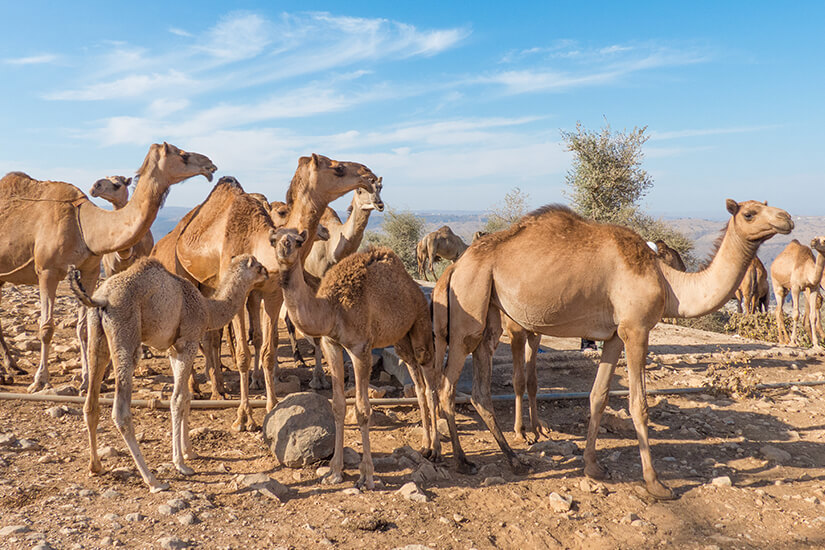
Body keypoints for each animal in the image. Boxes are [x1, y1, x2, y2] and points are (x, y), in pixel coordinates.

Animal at [0, 144, 216, 390]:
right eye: (182, 155)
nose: (210, 164)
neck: (84, 226)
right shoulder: (47, 270)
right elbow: (46, 328)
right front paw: (40, 380)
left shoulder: (90, 270)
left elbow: (84, 329)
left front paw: (86, 379)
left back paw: (12, 366)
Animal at [69, 256, 268, 494]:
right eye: (258, 266)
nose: (268, 273)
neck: (208, 309)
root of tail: (101, 300)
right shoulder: (188, 342)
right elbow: (177, 400)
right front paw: (180, 463)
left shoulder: (174, 349)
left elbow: (186, 398)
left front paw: (189, 452)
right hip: (125, 335)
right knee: (121, 411)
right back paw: (153, 481)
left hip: (97, 338)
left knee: (91, 404)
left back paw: (95, 466)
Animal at [152, 154, 380, 432]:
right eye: (337, 168)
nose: (368, 173)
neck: (258, 244)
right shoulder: (238, 294)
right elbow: (243, 353)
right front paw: (244, 417)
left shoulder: (272, 295)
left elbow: (268, 351)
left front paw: (272, 406)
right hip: (186, 277)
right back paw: (198, 387)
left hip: (217, 287)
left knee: (217, 335)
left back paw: (219, 386)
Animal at [276, 230, 440, 492]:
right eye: (274, 237)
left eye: (295, 240)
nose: (282, 249)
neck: (332, 308)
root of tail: (414, 287)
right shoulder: (331, 344)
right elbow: (338, 405)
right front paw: (334, 472)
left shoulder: (360, 348)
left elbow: (363, 409)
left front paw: (367, 476)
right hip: (402, 339)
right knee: (419, 384)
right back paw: (424, 446)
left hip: (421, 323)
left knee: (430, 381)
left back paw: (436, 449)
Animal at [432, 201, 792, 502]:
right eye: (750, 213)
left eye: (767, 204)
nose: (786, 218)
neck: (666, 281)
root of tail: (455, 268)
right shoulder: (636, 330)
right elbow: (638, 404)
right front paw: (656, 484)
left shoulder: (614, 336)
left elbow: (599, 395)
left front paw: (592, 466)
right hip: (470, 306)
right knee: (447, 386)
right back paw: (463, 461)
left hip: (489, 313)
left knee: (480, 390)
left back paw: (515, 460)